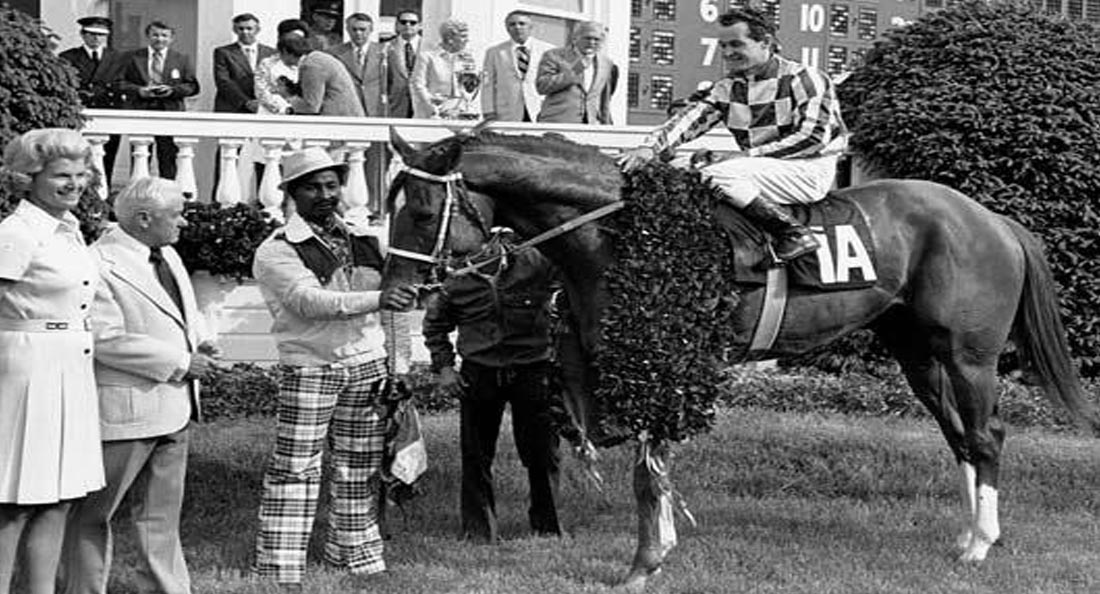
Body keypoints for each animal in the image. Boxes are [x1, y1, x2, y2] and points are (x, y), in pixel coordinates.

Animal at [380, 125, 1100, 589]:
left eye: (422, 208)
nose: (396, 291)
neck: (614, 228)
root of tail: (992, 220)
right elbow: (655, 460)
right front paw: (661, 547)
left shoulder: (660, 351)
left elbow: (646, 469)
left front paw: (643, 563)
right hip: (917, 352)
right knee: (959, 437)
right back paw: (968, 535)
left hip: (969, 355)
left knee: (987, 434)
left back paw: (981, 544)